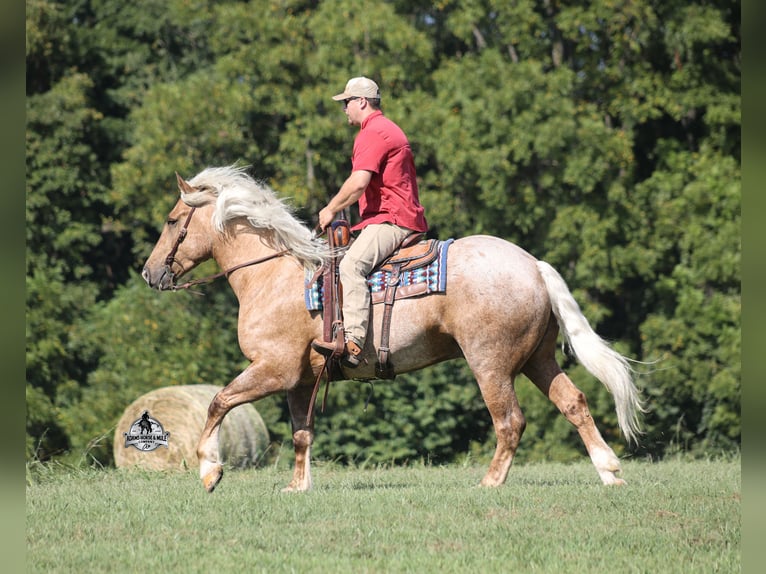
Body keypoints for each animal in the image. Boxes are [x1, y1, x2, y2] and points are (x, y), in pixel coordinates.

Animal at [141, 165, 643, 493]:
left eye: (171, 220)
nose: (149, 272)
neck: (275, 274)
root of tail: (533, 265)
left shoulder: (274, 369)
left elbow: (218, 402)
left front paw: (210, 471)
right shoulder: (300, 380)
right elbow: (302, 433)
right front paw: (298, 487)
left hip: (491, 364)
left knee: (510, 422)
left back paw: (489, 482)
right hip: (538, 359)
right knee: (574, 403)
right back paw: (609, 472)